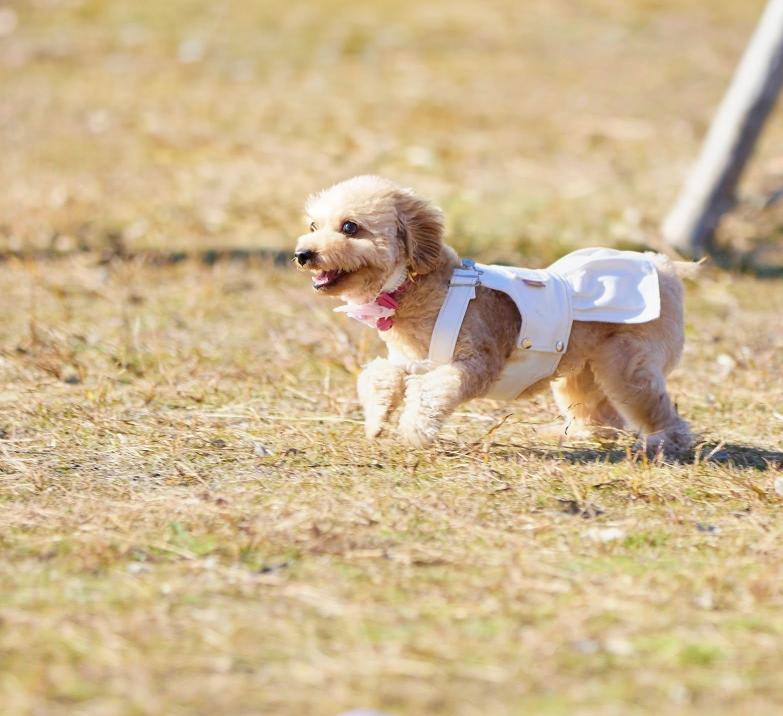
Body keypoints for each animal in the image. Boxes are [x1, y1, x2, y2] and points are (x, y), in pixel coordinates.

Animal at [294, 175, 693, 453]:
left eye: (350, 227)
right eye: (313, 226)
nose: (302, 254)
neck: (412, 288)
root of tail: (663, 266)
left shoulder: (475, 362)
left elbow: (431, 391)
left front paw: (414, 431)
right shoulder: (410, 359)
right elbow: (378, 374)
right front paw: (377, 419)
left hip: (626, 366)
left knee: (659, 411)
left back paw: (663, 443)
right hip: (582, 370)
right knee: (601, 417)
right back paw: (571, 434)